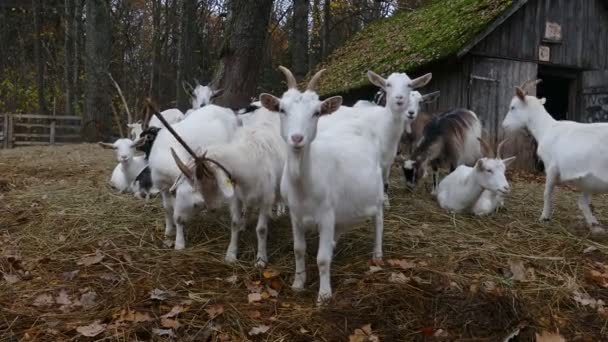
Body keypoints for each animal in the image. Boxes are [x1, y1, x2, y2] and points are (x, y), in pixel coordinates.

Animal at [258, 66, 384, 304]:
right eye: (282, 109)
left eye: (316, 112)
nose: (297, 138)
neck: (304, 185)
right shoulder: (295, 215)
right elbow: (299, 249)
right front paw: (298, 283)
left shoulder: (326, 214)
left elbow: (323, 258)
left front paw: (324, 295)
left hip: (378, 191)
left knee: (379, 221)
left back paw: (378, 255)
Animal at [502, 80, 608, 235]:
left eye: (513, 107)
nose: (504, 125)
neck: (547, 128)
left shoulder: (551, 166)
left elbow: (547, 192)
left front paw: (544, 217)